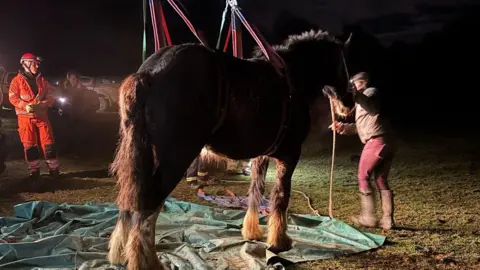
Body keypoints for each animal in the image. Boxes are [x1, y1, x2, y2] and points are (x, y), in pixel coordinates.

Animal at [109, 29, 352, 270]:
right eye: (344, 62)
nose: (348, 102)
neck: (293, 79)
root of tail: (149, 74)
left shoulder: (260, 156)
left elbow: (256, 191)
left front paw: (252, 232)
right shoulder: (290, 155)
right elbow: (281, 197)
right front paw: (279, 241)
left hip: (138, 154)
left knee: (131, 199)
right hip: (174, 159)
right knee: (149, 205)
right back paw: (147, 261)